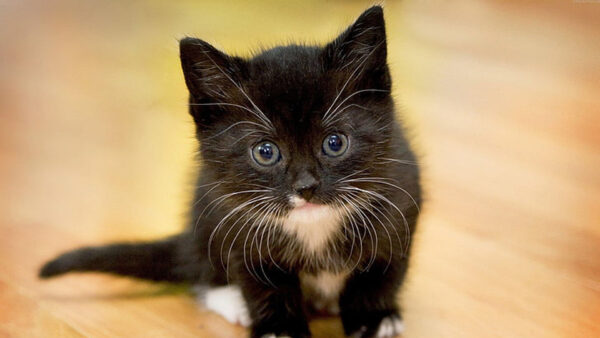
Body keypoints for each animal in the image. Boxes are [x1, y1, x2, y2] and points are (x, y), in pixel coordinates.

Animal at [38, 5, 422, 338]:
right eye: (265, 152)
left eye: (335, 143)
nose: (306, 187)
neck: (313, 228)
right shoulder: (235, 220)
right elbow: (260, 279)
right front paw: (279, 328)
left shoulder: (401, 198)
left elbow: (385, 266)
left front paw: (374, 318)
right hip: (204, 212)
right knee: (201, 272)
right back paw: (232, 300)